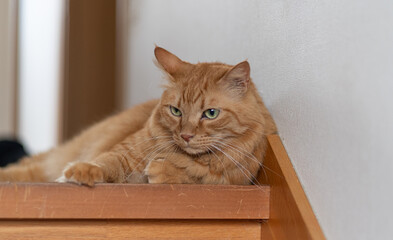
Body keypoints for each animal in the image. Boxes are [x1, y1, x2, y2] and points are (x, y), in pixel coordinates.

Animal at [0, 47, 276, 186]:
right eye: (176, 111)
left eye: (210, 114)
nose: (186, 136)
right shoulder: (123, 153)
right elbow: (104, 163)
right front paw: (83, 172)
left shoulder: (232, 180)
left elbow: (196, 177)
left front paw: (166, 171)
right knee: (27, 170)